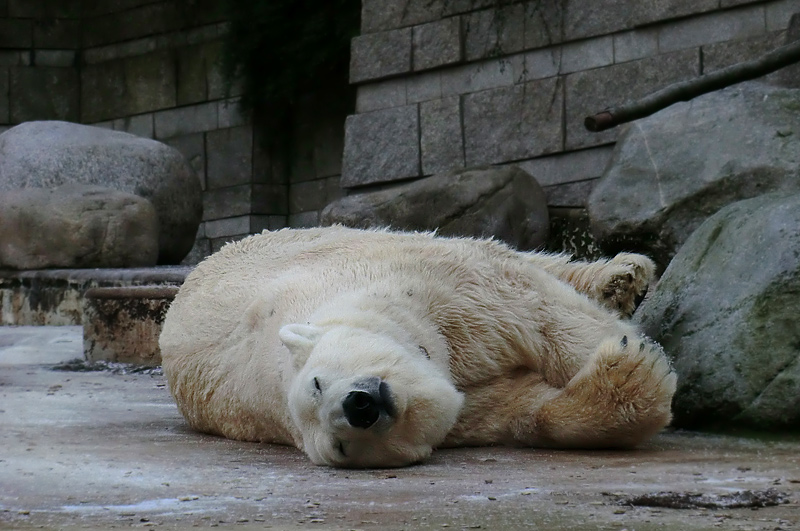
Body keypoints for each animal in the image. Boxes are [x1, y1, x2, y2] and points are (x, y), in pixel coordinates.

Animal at [161, 227, 676, 468]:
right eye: (341, 446)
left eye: (318, 380)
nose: (359, 405)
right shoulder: (468, 410)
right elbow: (521, 407)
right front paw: (630, 375)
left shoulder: (433, 287)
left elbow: (540, 312)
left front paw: (627, 348)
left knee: (514, 257)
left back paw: (622, 277)